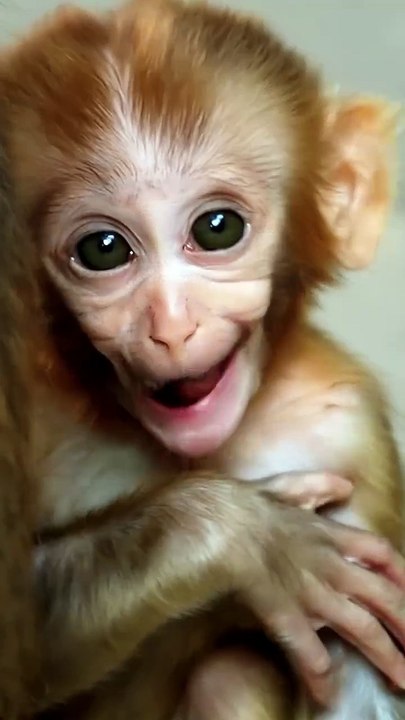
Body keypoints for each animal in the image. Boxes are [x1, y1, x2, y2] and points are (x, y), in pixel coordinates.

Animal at [1, 1, 405, 719]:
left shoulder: (342, 425)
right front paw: (250, 536)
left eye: (217, 230)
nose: (170, 326)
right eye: (104, 249)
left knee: (230, 673)